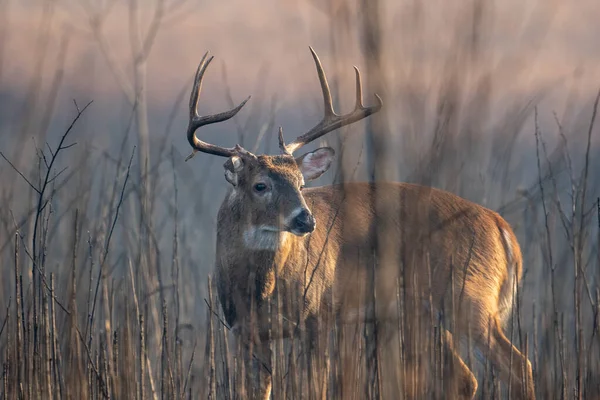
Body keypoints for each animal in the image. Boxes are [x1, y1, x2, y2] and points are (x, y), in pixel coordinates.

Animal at [183, 47, 536, 400]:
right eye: (260, 185)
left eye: (300, 183)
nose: (306, 218)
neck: (261, 289)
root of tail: (501, 227)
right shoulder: (244, 331)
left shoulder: (318, 315)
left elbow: (317, 388)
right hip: (427, 314)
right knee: (465, 378)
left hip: (469, 295)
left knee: (518, 365)